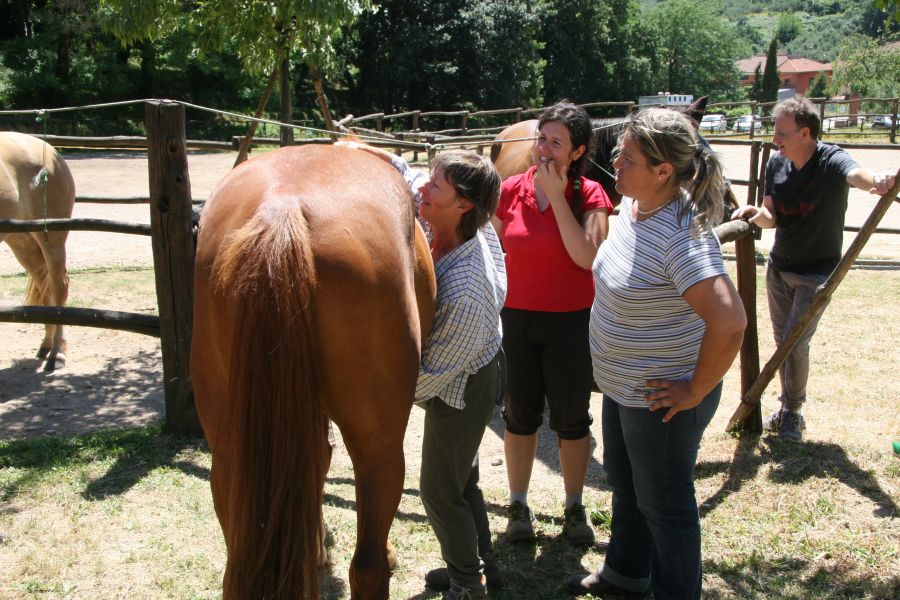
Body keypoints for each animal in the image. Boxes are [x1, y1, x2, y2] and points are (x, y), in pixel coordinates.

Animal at [0, 132, 75, 370]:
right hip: (21, 241)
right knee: (46, 286)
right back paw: (46, 345)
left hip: (52, 238)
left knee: (59, 286)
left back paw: (57, 353)